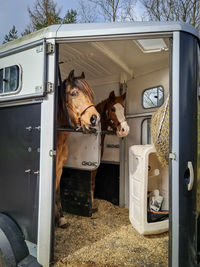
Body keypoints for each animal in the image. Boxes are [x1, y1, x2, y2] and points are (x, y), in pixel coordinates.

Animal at [56, 70, 100, 227]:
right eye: (74, 93)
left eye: (90, 94)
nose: (95, 118)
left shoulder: (59, 169)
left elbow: (56, 191)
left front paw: (60, 218)